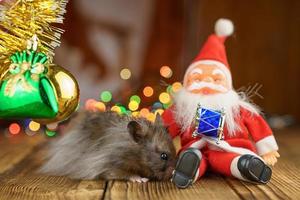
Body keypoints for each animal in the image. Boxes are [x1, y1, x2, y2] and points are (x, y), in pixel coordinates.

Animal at [39, 111, 176, 181]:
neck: (136, 154)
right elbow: (126, 174)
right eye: (163, 156)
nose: (173, 173)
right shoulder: (110, 166)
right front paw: (140, 179)